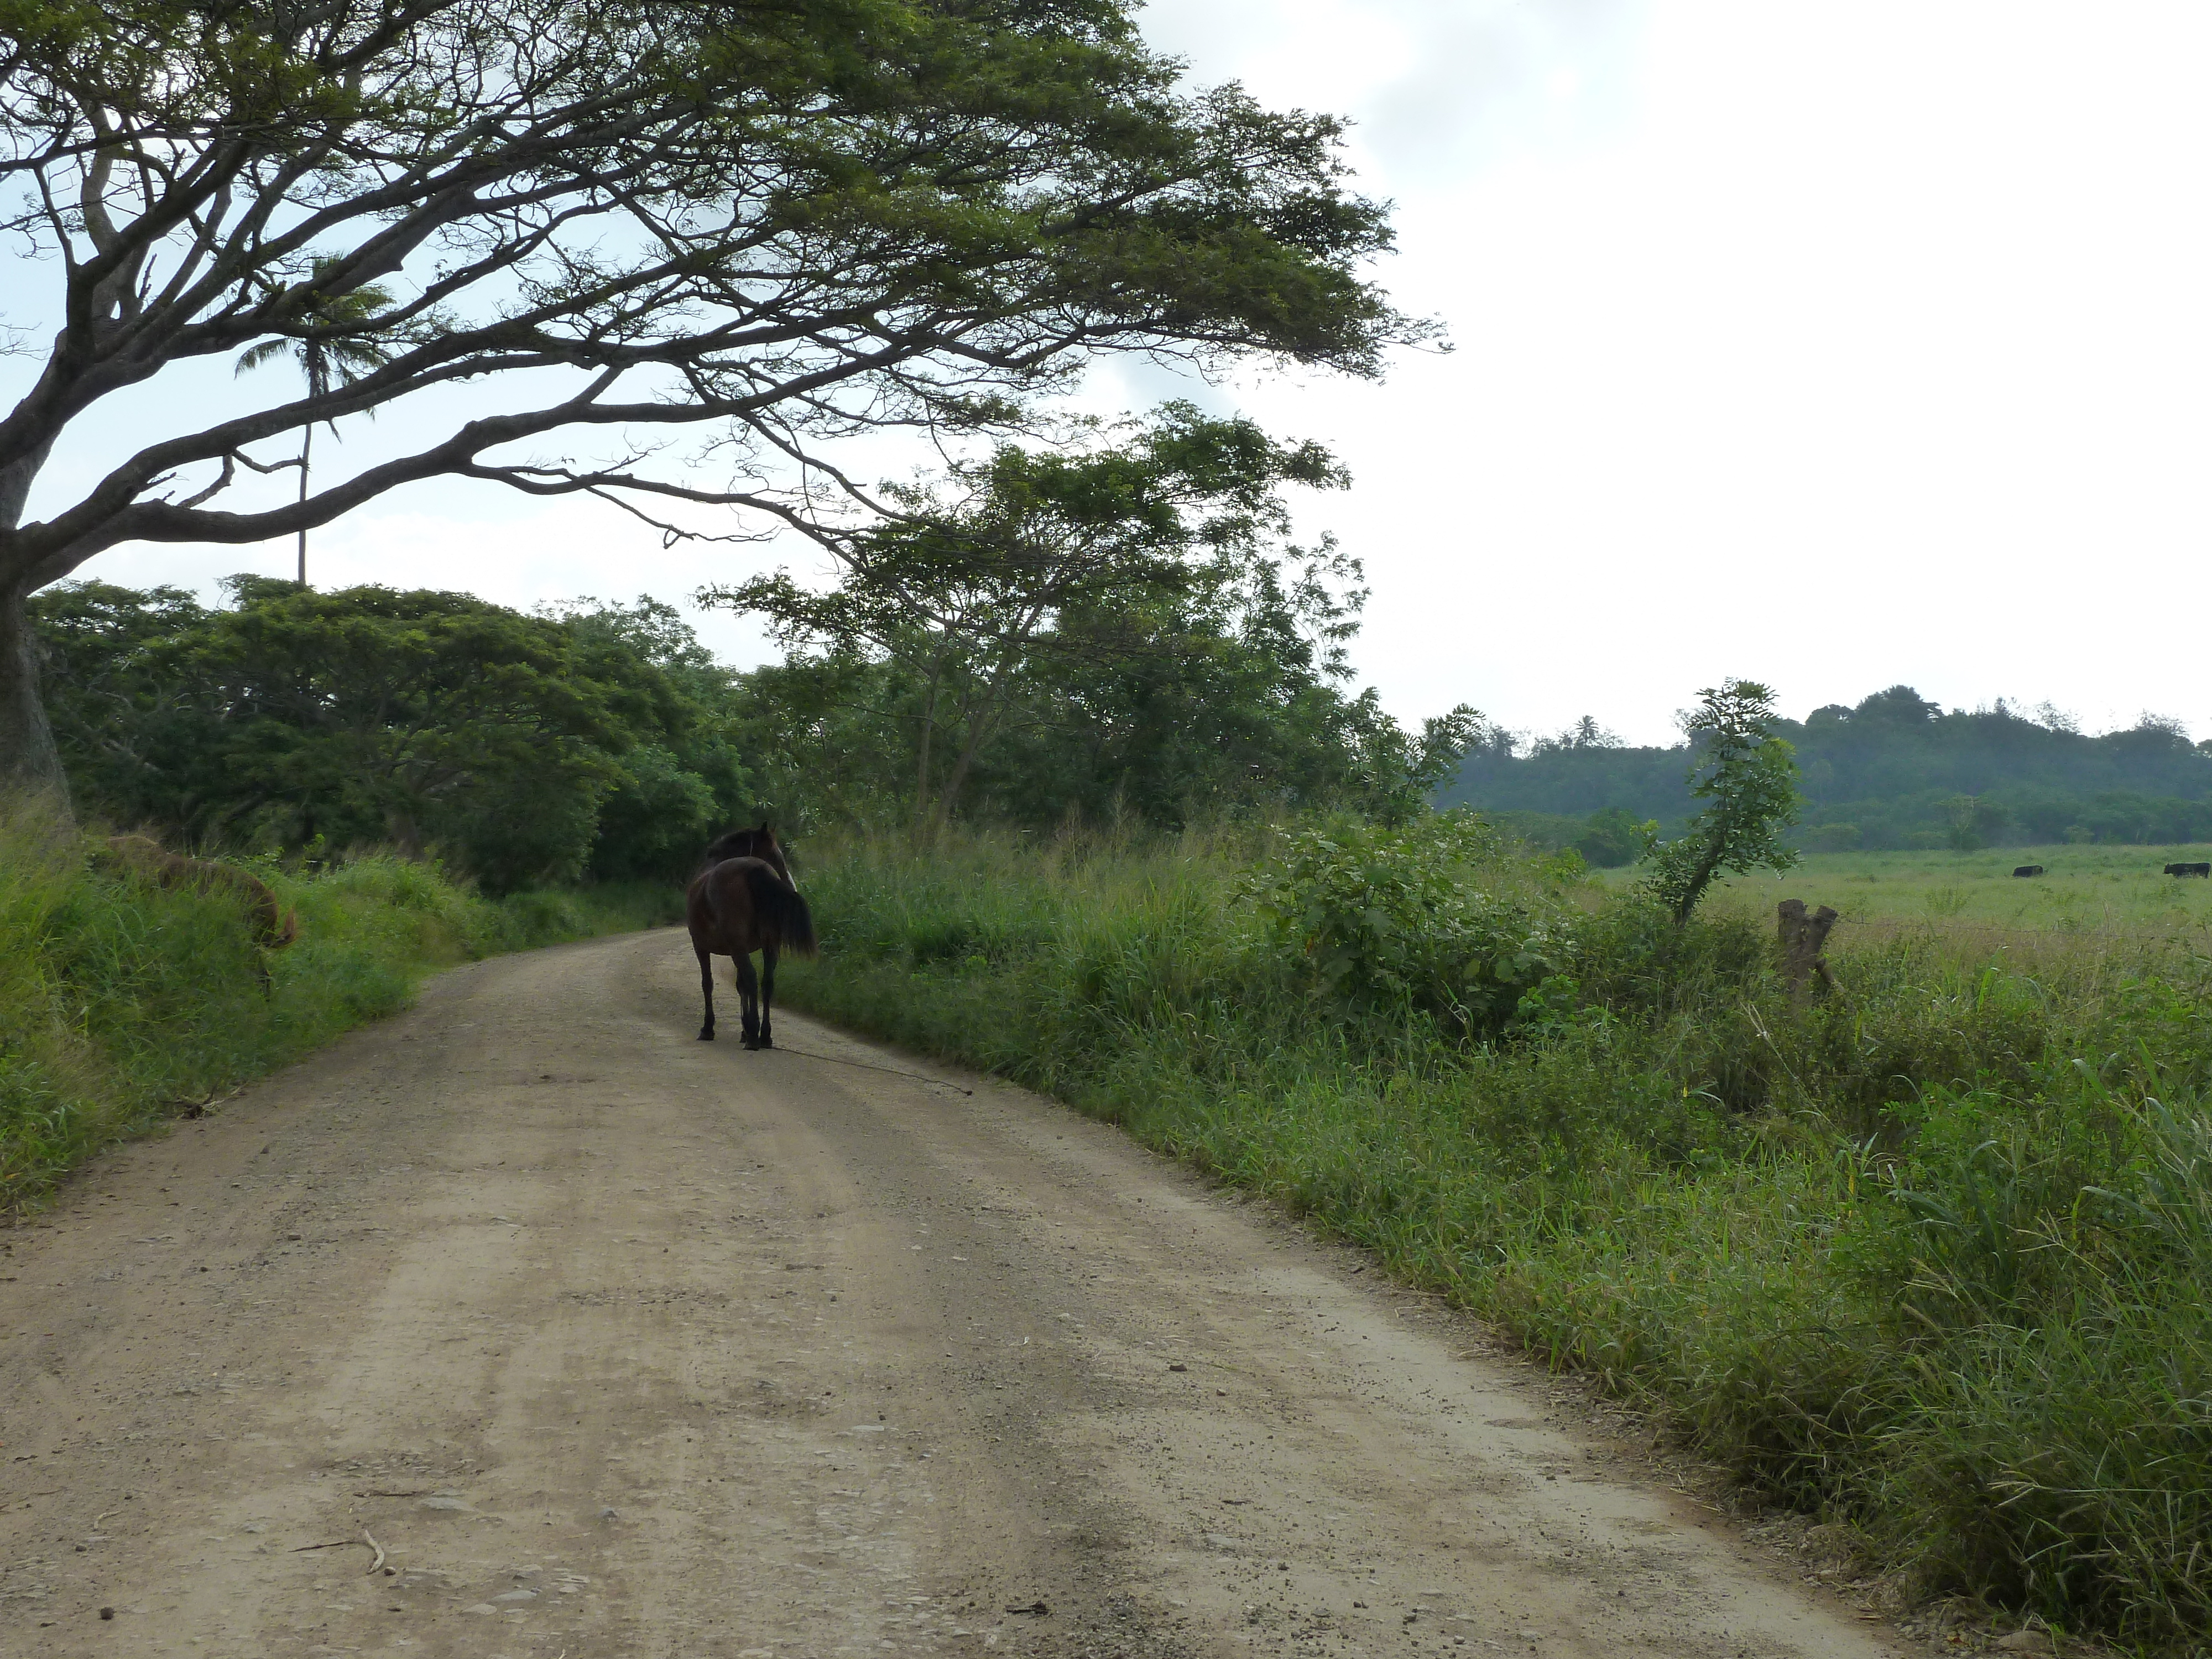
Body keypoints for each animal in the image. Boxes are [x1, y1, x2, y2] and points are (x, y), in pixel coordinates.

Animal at [686, 827, 818, 1044]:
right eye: (774, 855)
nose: (792, 885)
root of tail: (755, 870)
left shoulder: (702, 947)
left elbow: (709, 983)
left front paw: (709, 1028)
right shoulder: (741, 949)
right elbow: (741, 985)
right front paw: (744, 1029)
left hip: (738, 948)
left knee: (752, 977)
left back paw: (754, 1037)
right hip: (769, 946)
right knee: (767, 982)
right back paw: (764, 1035)